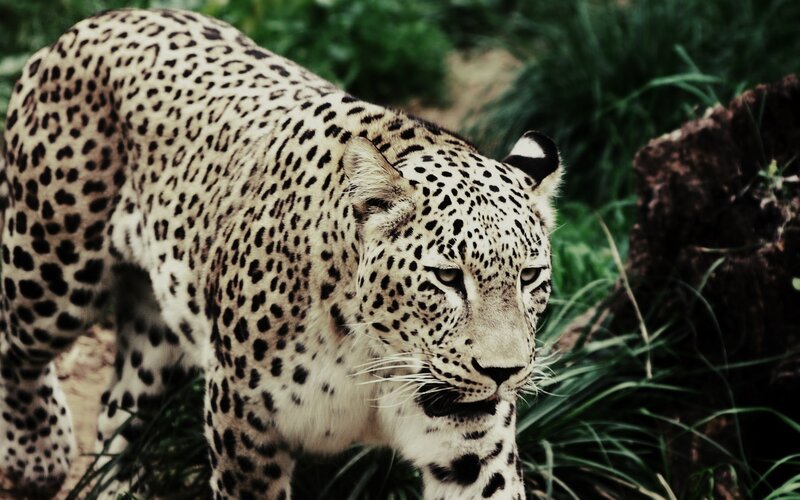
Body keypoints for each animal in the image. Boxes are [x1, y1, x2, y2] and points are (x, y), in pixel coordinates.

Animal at [0, 8, 562, 499]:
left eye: (530, 276)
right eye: (447, 278)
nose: (503, 372)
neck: (375, 358)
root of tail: (99, 20)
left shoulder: (472, 449)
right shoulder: (241, 418)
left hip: (160, 325)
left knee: (116, 408)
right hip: (49, 272)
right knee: (15, 349)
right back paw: (40, 457)